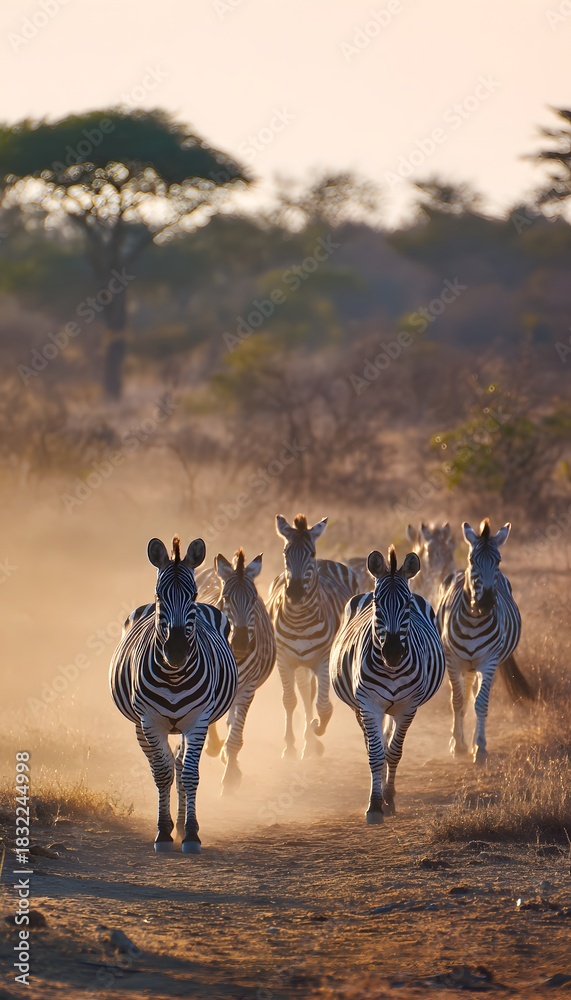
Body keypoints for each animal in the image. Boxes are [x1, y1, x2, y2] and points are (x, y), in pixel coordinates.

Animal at [109, 535, 238, 853]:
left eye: (192, 595)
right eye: (159, 595)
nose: (177, 651)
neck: (174, 675)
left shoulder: (199, 720)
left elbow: (189, 775)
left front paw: (190, 833)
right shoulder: (149, 721)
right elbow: (162, 773)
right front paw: (164, 833)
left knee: (180, 767)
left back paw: (182, 825)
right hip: (141, 726)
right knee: (167, 766)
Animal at [195, 549, 276, 792]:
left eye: (253, 600)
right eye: (227, 598)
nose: (240, 644)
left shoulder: (248, 688)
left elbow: (235, 738)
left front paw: (230, 777)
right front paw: (214, 748)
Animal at [267, 514, 359, 759]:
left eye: (311, 554)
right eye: (285, 553)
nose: (295, 593)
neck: (299, 621)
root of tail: (327, 561)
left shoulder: (323, 660)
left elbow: (324, 706)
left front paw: (317, 728)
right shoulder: (284, 659)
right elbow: (290, 700)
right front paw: (290, 746)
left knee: (313, 696)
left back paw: (312, 740)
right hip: (300, 663)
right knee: (305, 694)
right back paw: (307, 742)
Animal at [330, 546, 445, 823]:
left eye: (407, 604)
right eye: (377, 603)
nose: (392, 653)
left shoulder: (408, 707)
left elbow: (394, 751)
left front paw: (389, 800)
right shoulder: (368, 704)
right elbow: (375, 753)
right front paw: (374, 805)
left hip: (394, 707)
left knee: (388, 743)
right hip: (362, 708)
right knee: (374, 744)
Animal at [437, 519, 534, 764]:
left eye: (498, 561)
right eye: (473, 560)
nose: (487, 602)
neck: (474, 620)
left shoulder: (489, 661)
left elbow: (481, 703)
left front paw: (479, 748)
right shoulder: (452, 661)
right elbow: (458, 700)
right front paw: (457, 745)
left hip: (483, 664)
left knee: (476, 695)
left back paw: (472, 743)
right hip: (466, 665)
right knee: (464, 695)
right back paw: (459, 741)